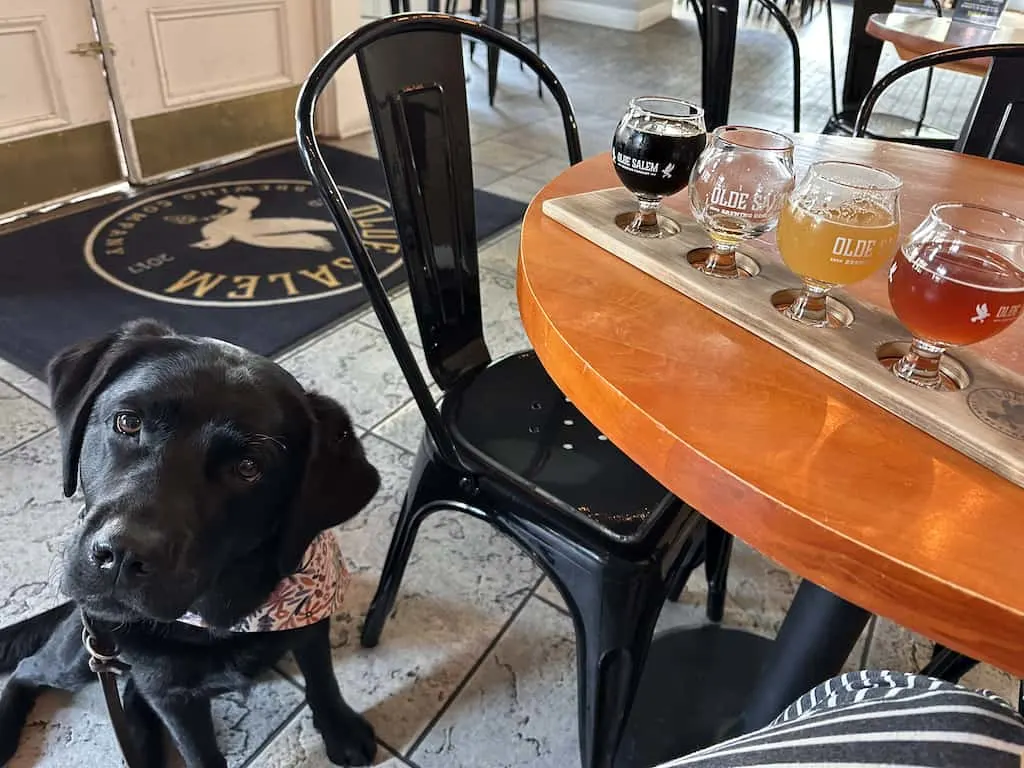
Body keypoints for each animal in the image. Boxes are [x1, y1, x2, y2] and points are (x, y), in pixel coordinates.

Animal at [0, 315, 380, 765]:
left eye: (248, 468)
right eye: (127, 422)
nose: (122, 555)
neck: (218, 617)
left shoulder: (310, 627)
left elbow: (322, 676)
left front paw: (340, 726)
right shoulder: (173, 696)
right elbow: (199, 752)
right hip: (83, 654)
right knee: (27, 670)